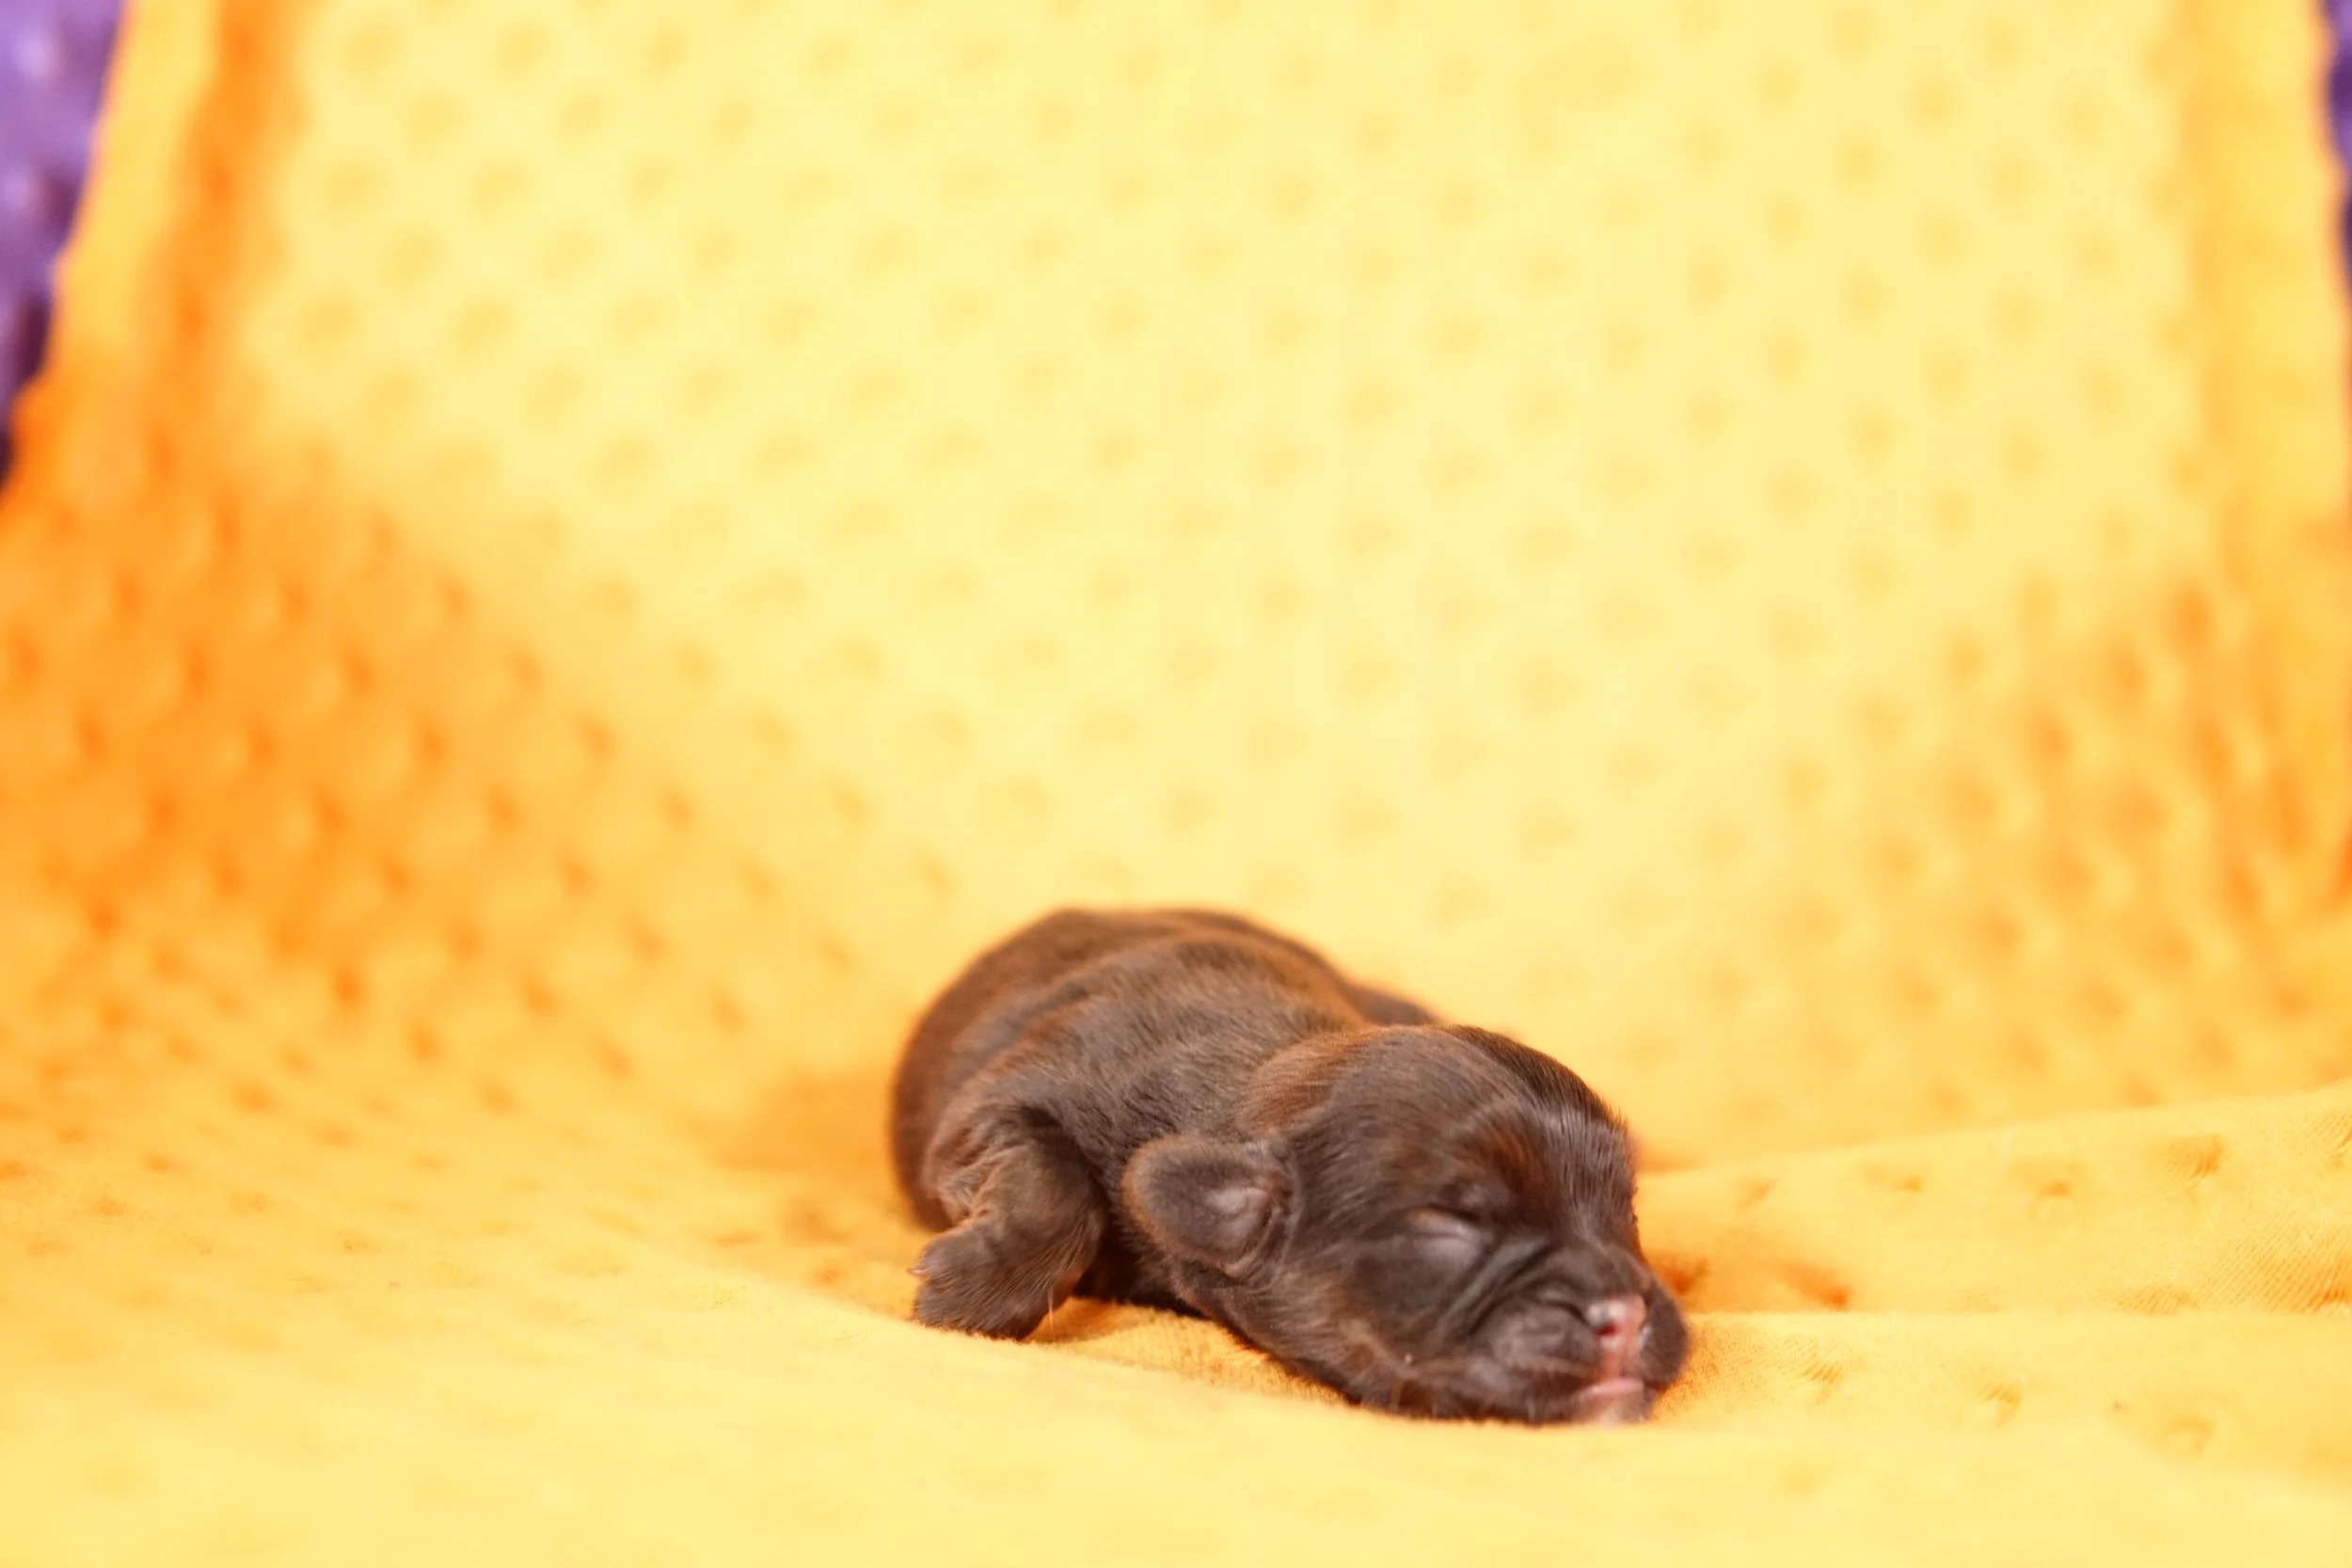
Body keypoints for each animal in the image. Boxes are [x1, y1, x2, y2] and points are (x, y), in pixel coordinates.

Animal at [889, 907, 1689, 1424]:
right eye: (1448, 1222)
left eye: (1627, 1210)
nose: (1626, 1313)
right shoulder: (997, 1098)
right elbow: (1054, 1175)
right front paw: (977, 1291)